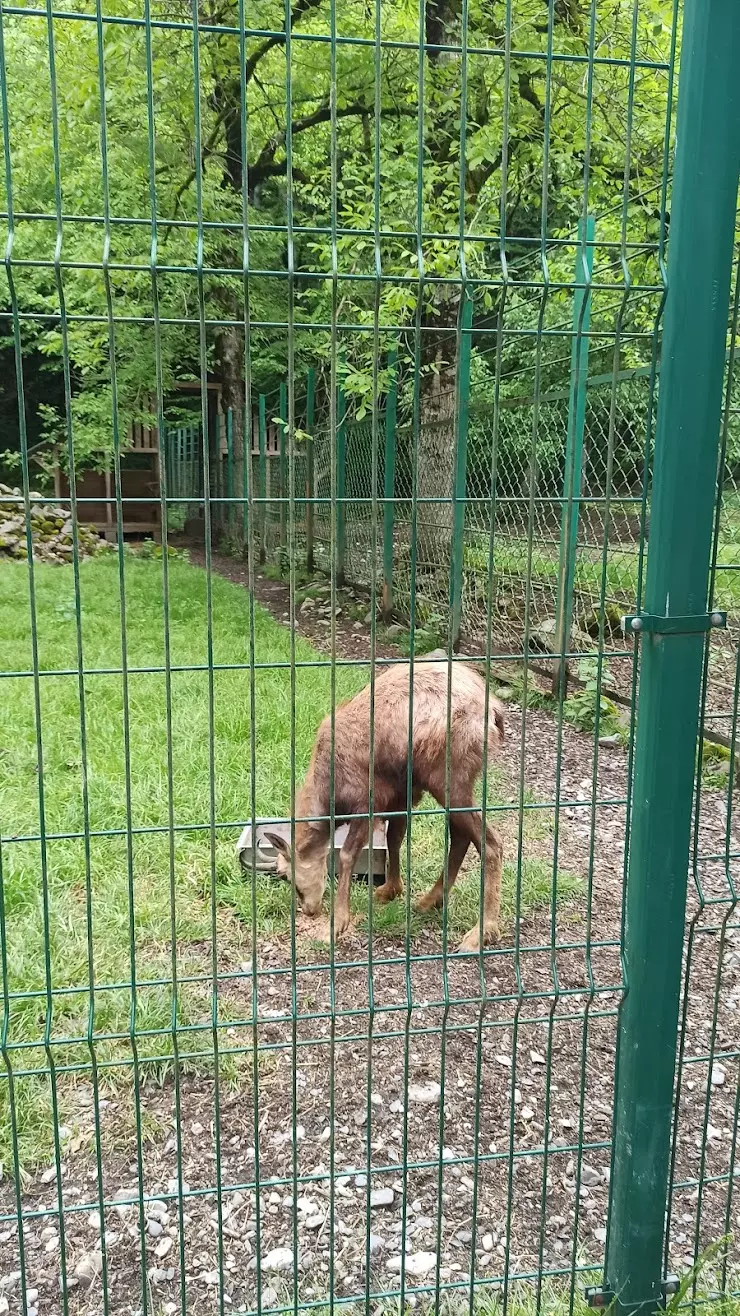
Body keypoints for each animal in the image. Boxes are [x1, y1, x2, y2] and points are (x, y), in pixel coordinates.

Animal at [262, 663, 502, 952]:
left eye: (288, 877)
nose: (309, 909)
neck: (330, 790)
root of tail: (492, 710)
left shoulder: (367, 801)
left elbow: (347, 854)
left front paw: (336, 925)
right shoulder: (400, 796)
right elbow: (394, 838)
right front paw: (391, 889)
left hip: (449, 778)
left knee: (489, 842)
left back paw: (481, 932)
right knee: (461, 837)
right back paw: (430, 901)